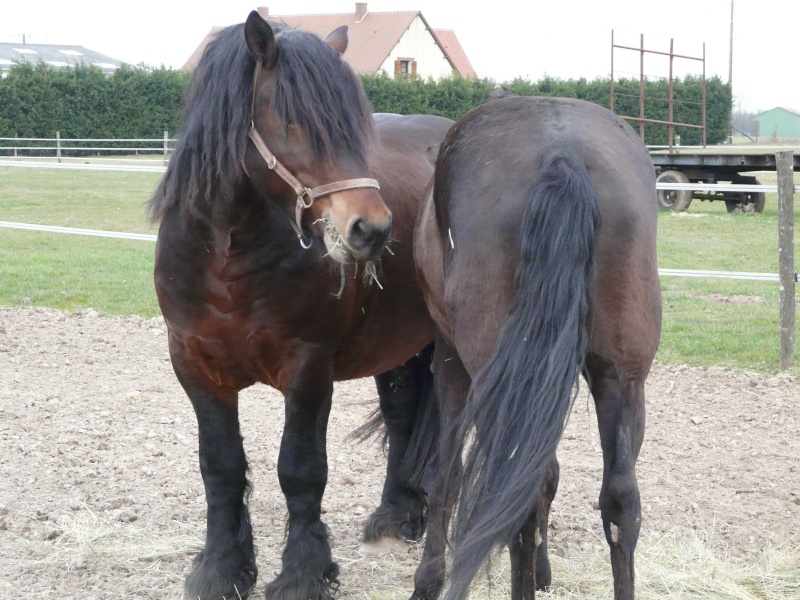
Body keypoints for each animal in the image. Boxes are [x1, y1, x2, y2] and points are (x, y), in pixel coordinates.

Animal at [147, 10, 454, 600]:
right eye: (292, 120)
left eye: (355, 124)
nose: (372, 229)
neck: (228, 257)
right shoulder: (195, 366)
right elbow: (220, 465)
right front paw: (221, 569)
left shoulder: (308, 368)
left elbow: (301, 469)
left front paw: (303, 574)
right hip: (401, 346)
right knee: (405, 417)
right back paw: (396, 517)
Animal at [412, 96, 664, 596]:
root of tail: (561, 158)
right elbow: (549, 474)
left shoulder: (450, 360)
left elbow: (447, 473)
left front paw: (429, 578)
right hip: (622, 379)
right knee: (621, 502)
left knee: (516, 498)